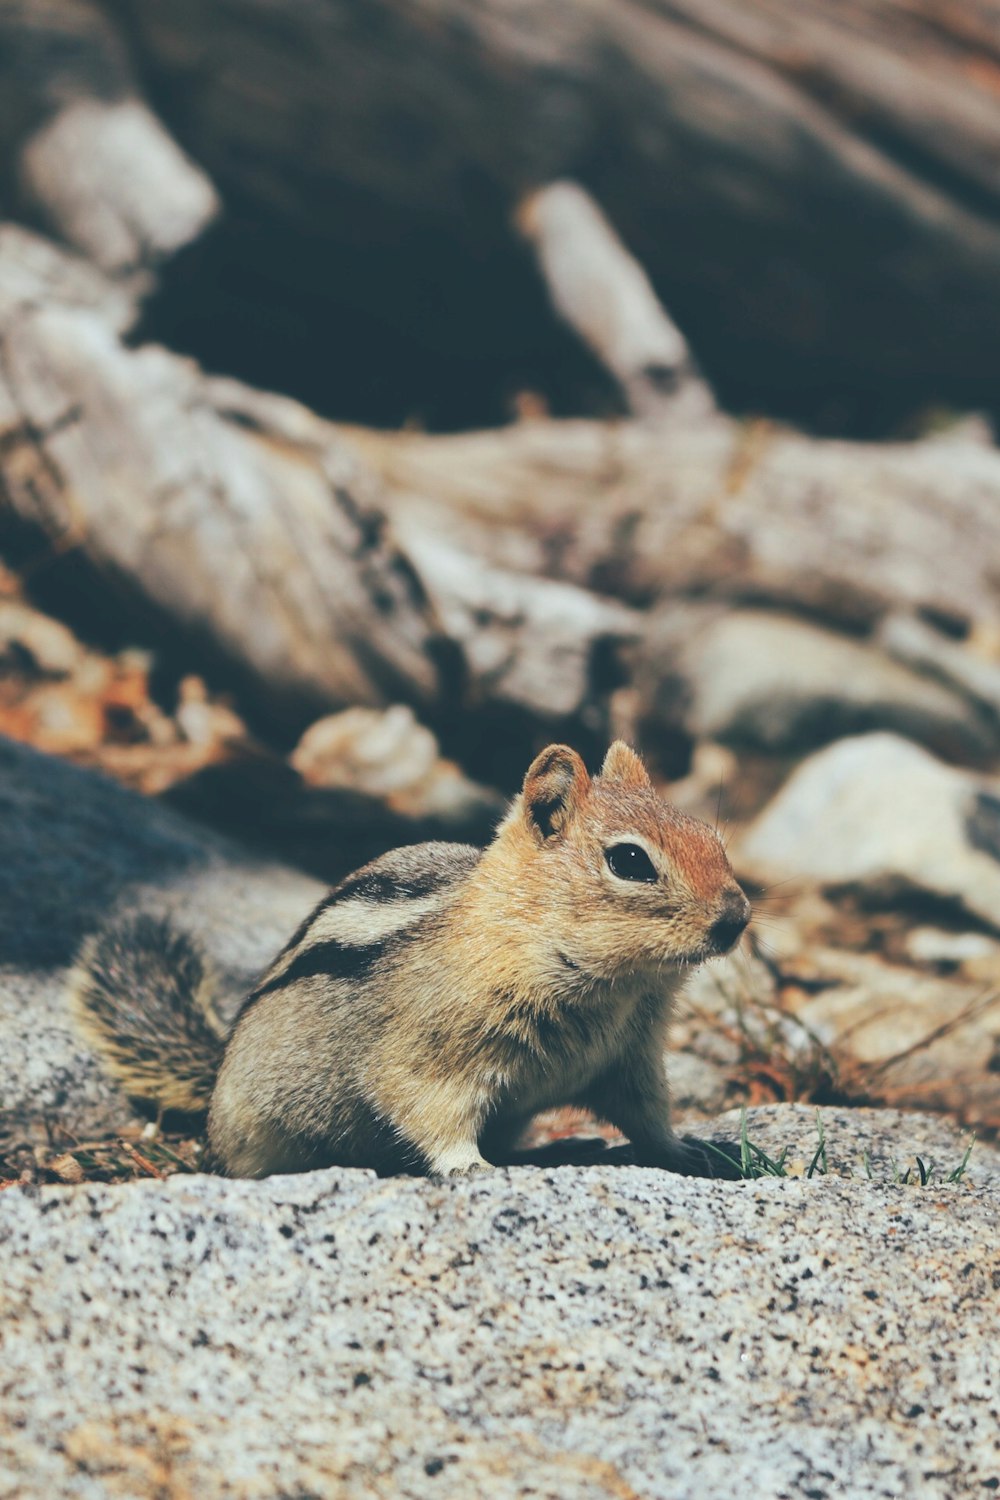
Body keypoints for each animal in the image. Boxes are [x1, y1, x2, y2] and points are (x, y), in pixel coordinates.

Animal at [72, 744, 749, 1176]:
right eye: (630, 862)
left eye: (711, 838)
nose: (737, 918)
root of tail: (215, 1076)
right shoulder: (431, 1052)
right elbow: (425, 1107)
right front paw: (469, 1167)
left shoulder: (630, 1058)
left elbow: (648, 1114)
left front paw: (687, 1151)